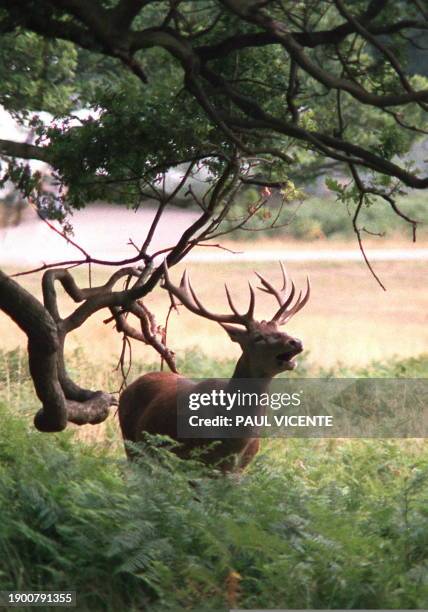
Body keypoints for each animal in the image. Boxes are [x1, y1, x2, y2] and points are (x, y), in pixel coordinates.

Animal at [118, 260, 310, 470]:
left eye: (281, 329)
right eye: (258, 337)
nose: (296, 341)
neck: (234, 440)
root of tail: (127, 389)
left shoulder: (239, 469)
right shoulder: (195, 461)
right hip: (130, 445)